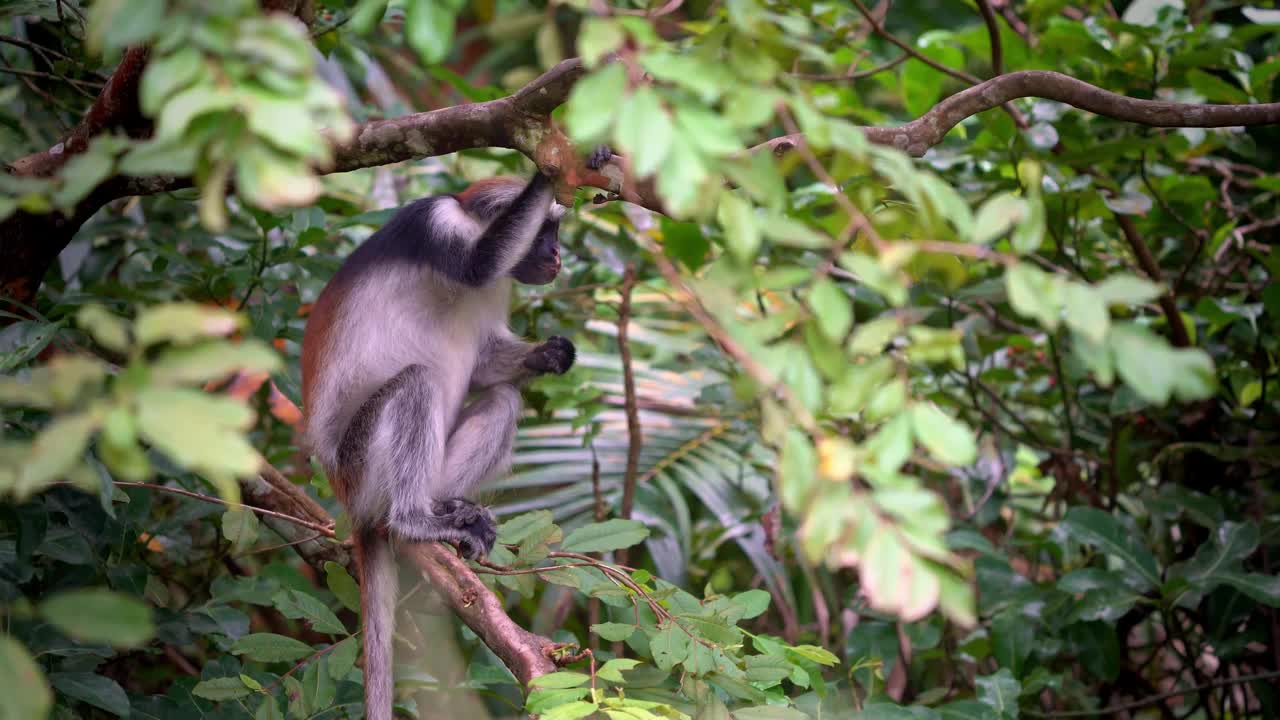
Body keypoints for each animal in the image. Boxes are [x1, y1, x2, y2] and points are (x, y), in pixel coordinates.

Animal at [299, 152, 604, 717]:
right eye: (545, 232)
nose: (555, 255)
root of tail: (350, 501)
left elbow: (486, 368)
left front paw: (551, 354)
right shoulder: (436, 222)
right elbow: (479, 265)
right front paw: (553, 161)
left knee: (503, 399)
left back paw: (450, 508)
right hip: (361, 464)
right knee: (417, 384)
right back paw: (414, 521)